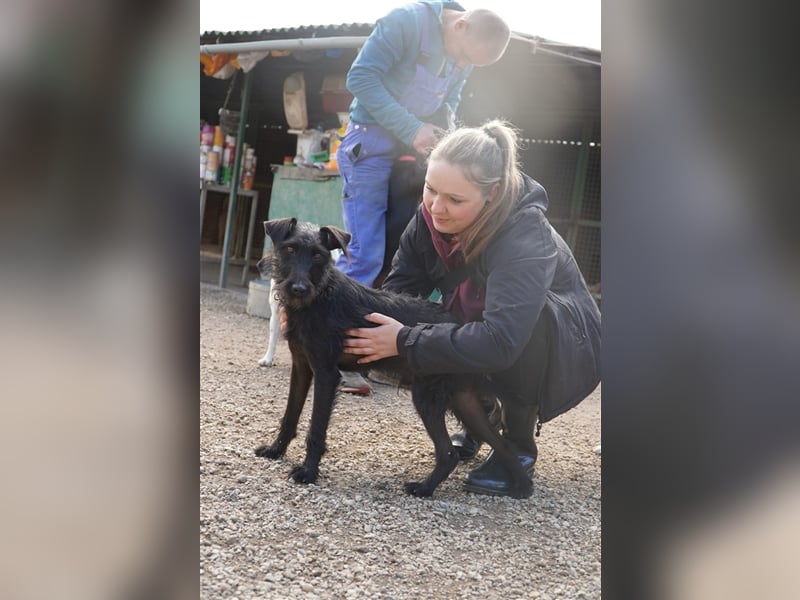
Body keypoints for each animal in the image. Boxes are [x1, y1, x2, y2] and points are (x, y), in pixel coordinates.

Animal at [255, 218, 532, 500]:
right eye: (289, 249)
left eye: (318, 256)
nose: (298, 289)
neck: (321, 295)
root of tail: (464, 327)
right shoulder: (302, 367)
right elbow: (290, 415)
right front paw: (276, 450)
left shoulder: (326, 374)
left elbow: (316, 428)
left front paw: (309, 472)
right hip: (462, 400)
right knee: (502, 444)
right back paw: (522, 486)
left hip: (427, 398)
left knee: (448, 453)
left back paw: (424, 488)